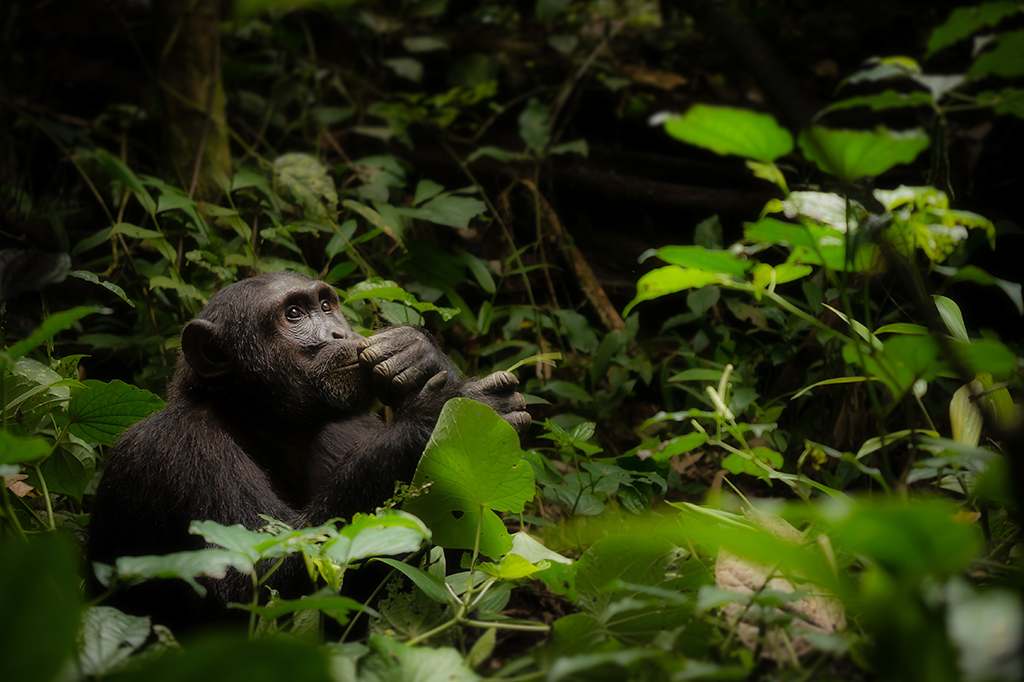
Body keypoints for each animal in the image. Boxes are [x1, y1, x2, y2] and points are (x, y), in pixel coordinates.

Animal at [87, 270, 528, 626]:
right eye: (295, 314)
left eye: (327, 306)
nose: (339, 333)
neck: (263, 421)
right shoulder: (180, 448)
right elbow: (257, 575)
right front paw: (446, 412)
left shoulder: (353, 427)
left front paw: (416, 352)